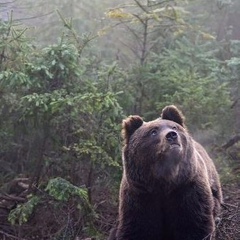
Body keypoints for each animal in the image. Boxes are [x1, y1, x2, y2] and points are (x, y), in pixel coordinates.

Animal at [109, 105, 223, 240]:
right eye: (153, 131)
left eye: (174, 127)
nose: (172, 135)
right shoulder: (140, 194)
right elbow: (138, 227)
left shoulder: (187, 187)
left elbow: (193, 224)